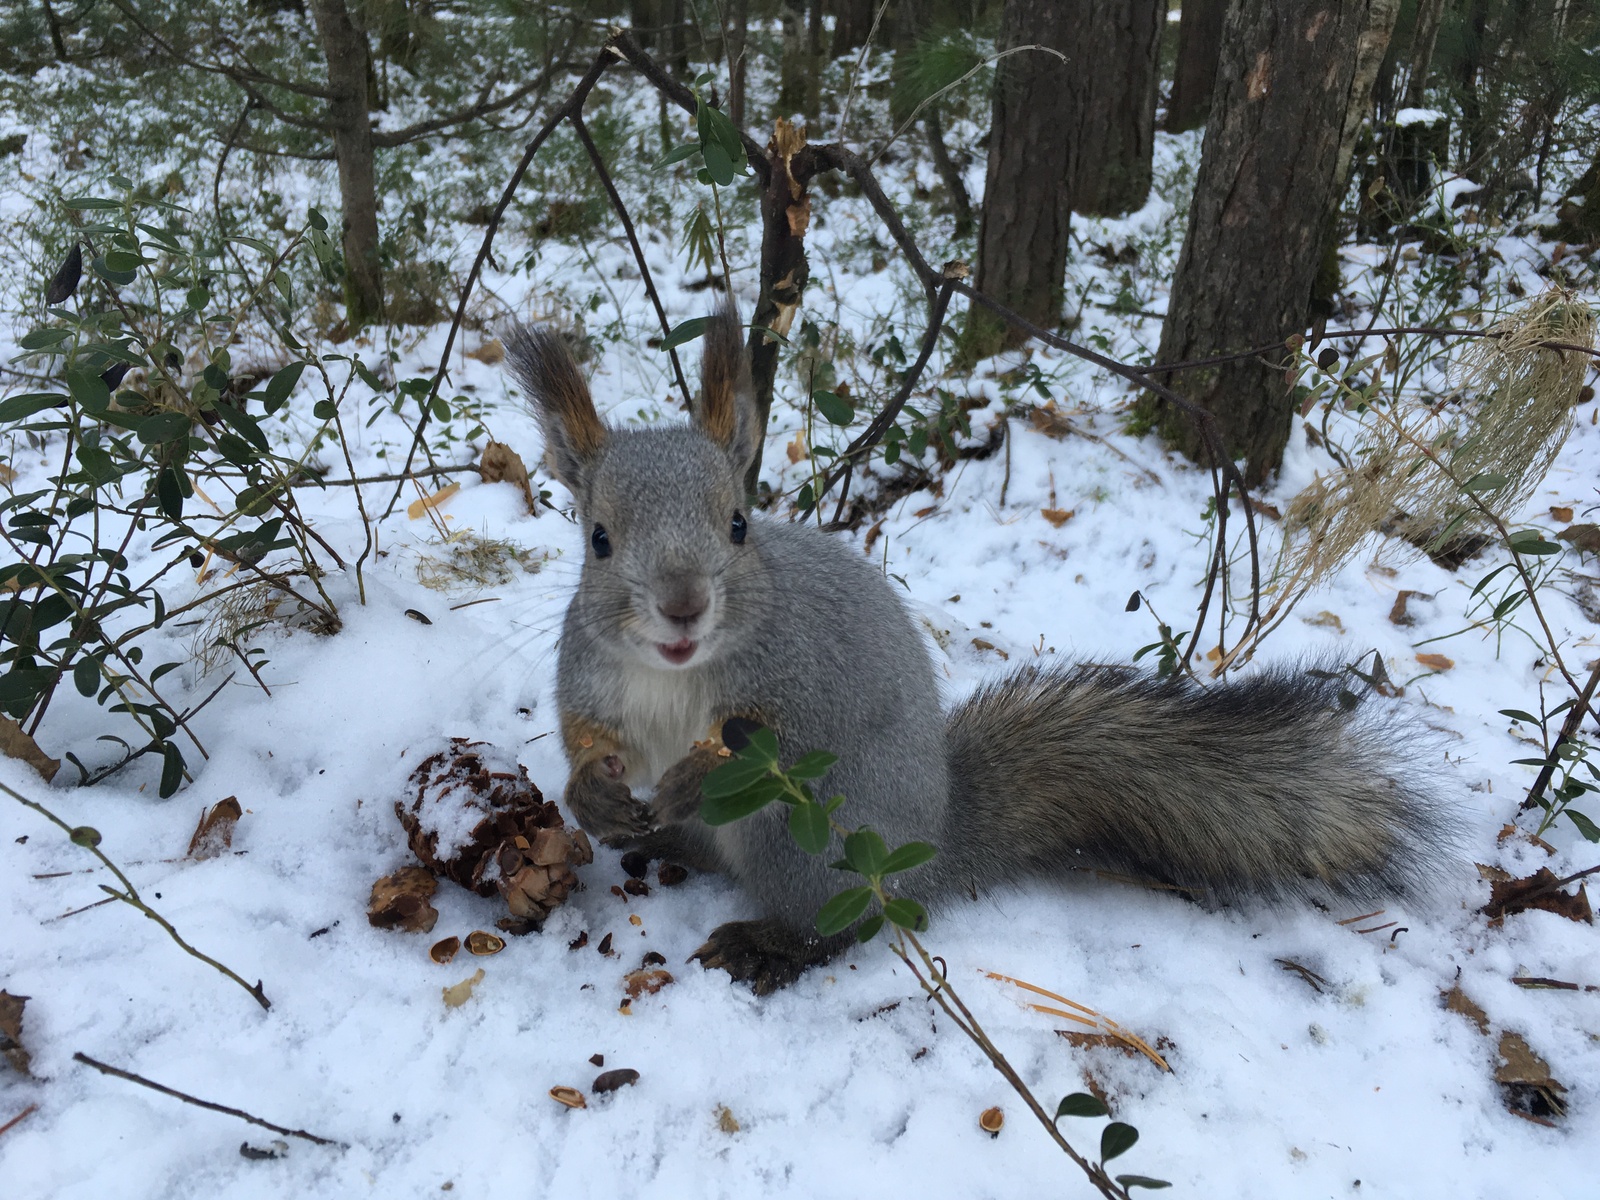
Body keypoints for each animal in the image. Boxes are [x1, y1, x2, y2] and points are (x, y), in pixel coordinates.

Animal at [505, 307, 1459, 998]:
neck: (674, 674)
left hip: (809, 832)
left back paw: (764, 940)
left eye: (739, 525)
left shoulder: (800, 673)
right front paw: (593, 792)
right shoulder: (592, 674)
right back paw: (657, 840)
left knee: (843, 922)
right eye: (596, 540)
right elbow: (585, 733)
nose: (681, 607)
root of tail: (935, 842)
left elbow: (768, 736)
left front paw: (696, 772)